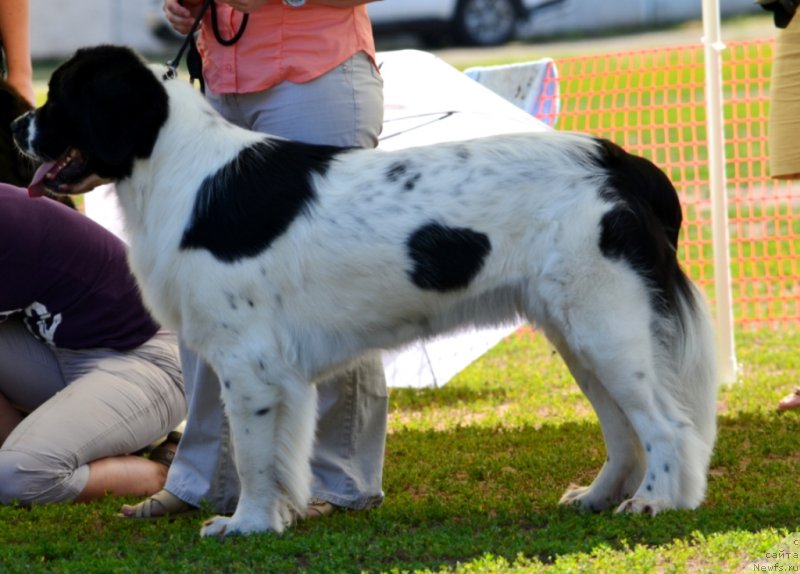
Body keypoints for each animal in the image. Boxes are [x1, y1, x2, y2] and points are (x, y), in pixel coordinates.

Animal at [10, 46, 720, 540]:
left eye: (62, 97)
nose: (18, 125)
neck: (176, 167)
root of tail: (620, 162)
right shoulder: (278, 372)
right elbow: (281, 454)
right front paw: (277, 518)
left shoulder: (249, 362)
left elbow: (252, 453)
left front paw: (246, 524)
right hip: (579, 331)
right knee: (625, 430)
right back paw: (598, 497)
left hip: (605, 325)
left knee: (668, 426)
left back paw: (656, 502)